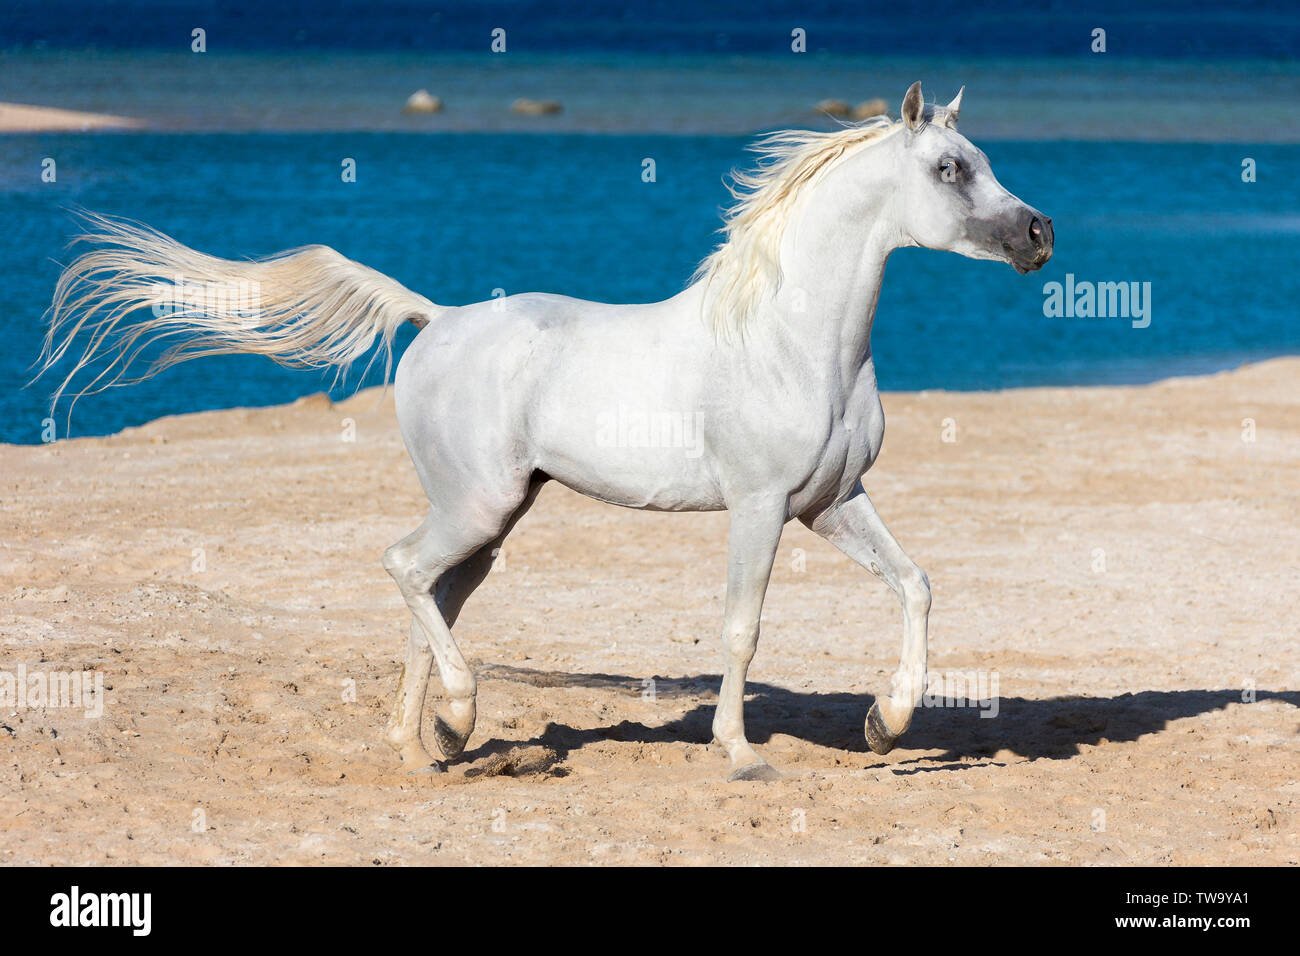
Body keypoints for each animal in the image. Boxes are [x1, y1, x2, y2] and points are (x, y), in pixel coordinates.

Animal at [45, 82, 1050, 780]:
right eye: (950, 169)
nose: (1040, 235)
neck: (791, 340)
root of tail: (436, 317)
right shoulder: (760, 508)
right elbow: (741, 628)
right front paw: (742, 755)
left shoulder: (832, 503)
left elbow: (916, 585)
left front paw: (887, 722)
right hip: (479, 507)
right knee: (405, 570)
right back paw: (455, 717)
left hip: (494, 519)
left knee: (432, 598)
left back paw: (424, 747)